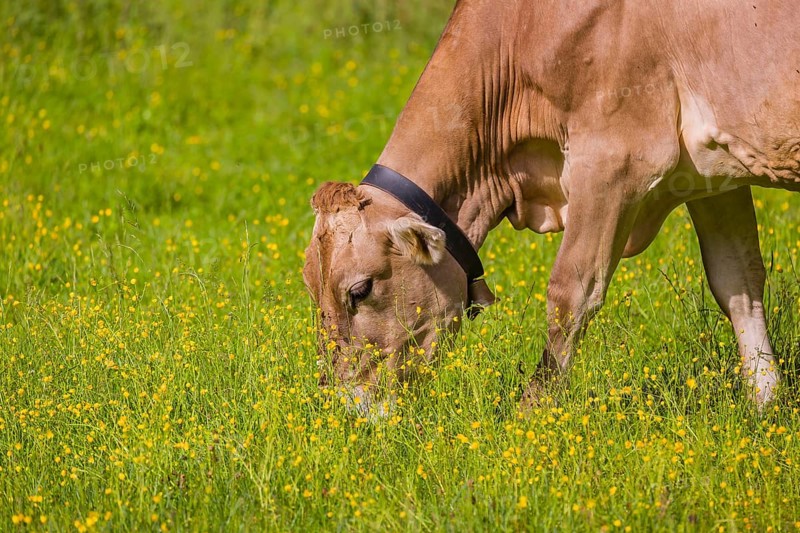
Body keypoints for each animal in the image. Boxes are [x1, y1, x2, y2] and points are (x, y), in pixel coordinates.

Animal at [303, 0, 800, 414]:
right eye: (311, 290)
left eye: (360, 290)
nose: (347, 408)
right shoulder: (713, 173)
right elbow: (737, 282)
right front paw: (766, 407)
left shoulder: (614, 160)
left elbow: (569, 293)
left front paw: (530, 415)